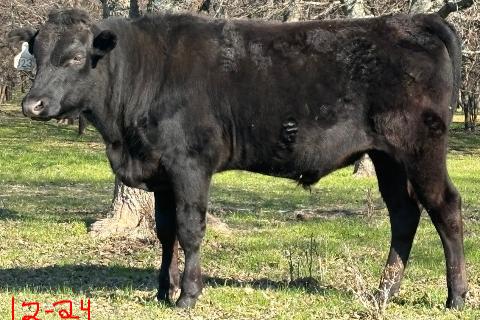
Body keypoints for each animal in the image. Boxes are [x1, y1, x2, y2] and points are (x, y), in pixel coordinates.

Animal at [10, 8, 468, 308]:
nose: (32, 105)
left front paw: (187, 296)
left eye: (74, 57)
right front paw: (161, 290)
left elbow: (190, 230)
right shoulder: (160, 171)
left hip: (419, 148)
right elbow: (165, 232)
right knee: (404, 214)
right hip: (386, 157)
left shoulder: (190, 164)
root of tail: (408, 20)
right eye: (36, 53)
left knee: (446, 208)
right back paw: (383, 292)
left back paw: (456, 297)